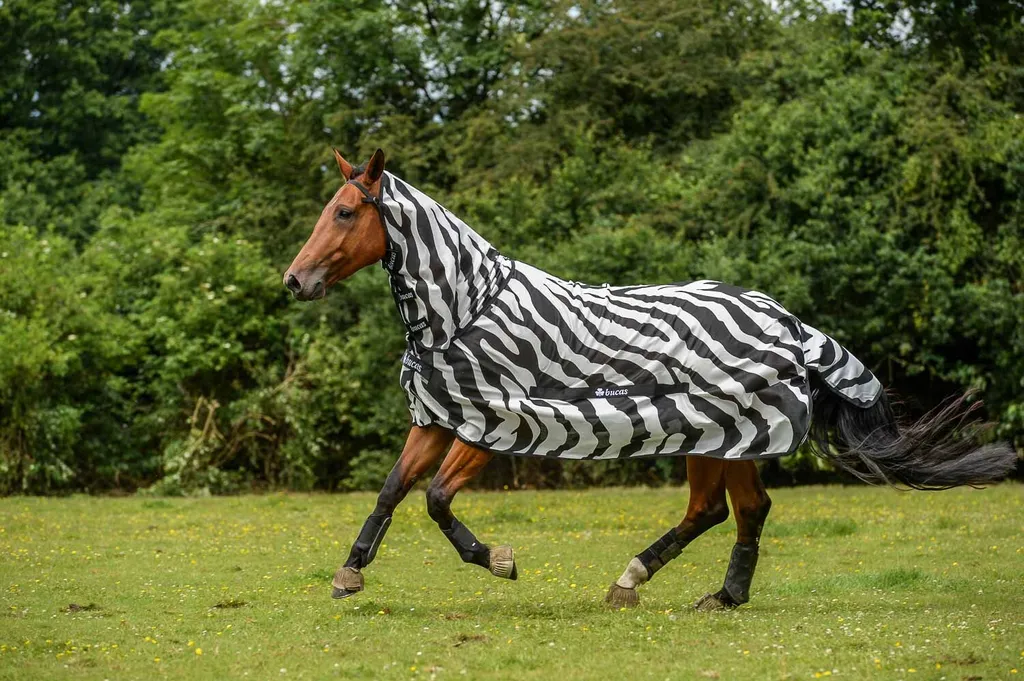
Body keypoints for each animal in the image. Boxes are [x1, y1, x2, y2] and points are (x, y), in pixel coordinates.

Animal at [283, 148, 1016, 611]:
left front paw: (498, 559)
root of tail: (786, 319)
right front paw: (349, 573)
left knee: (727, 509)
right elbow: (393, 488)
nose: (295, 280)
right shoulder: (438, 417)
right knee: (732, 509)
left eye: (346, 212)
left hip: (726, 433)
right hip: (723, 439)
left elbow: (436, 499)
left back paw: (658, 582)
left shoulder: (492, 422)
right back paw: (701, 592)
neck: (467, 309)